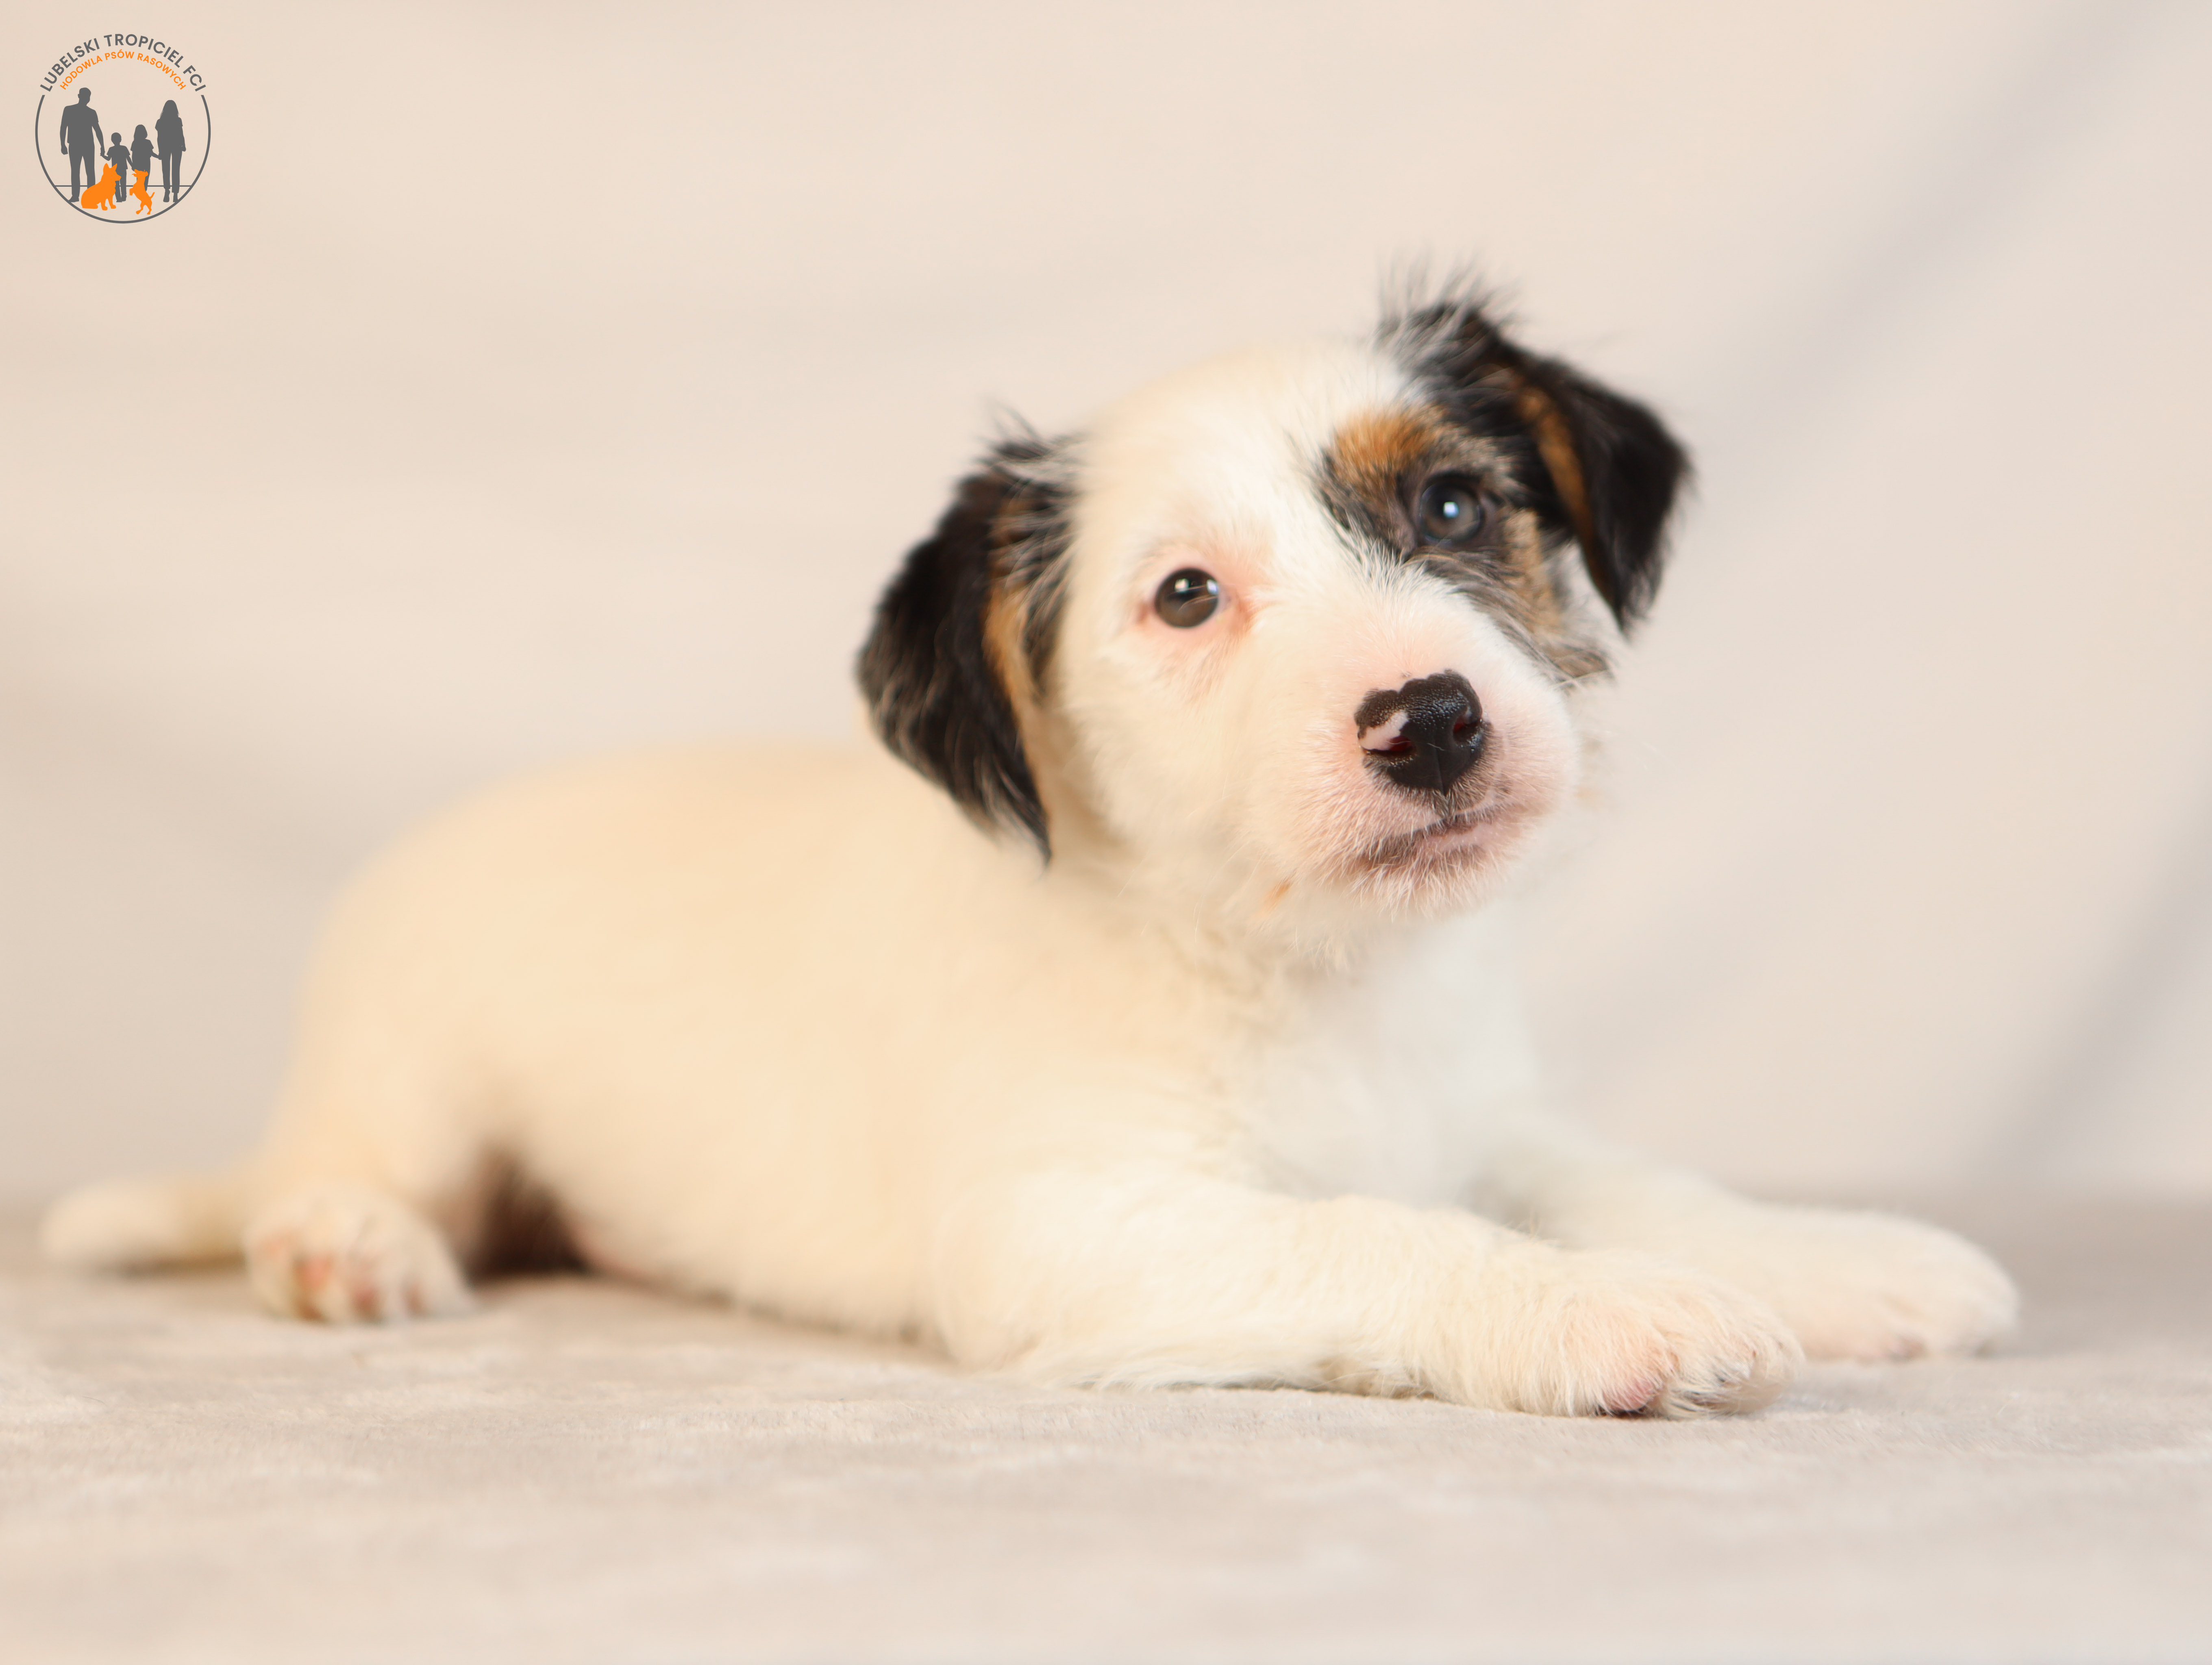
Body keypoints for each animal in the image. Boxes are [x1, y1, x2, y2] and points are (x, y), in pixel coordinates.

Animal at [42, 291, 2019, 1417]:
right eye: (1185, 599)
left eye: (1454, 504)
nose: (1431, 722)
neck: (1299, 969)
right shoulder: (1070, 1225)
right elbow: (1380, 1235)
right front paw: (1598, 1311)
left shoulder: (1491, 1119)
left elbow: (1630, 1184)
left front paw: (1835, 1260)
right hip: (412, 1079)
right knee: (345, 1173)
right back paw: (346, 1245)